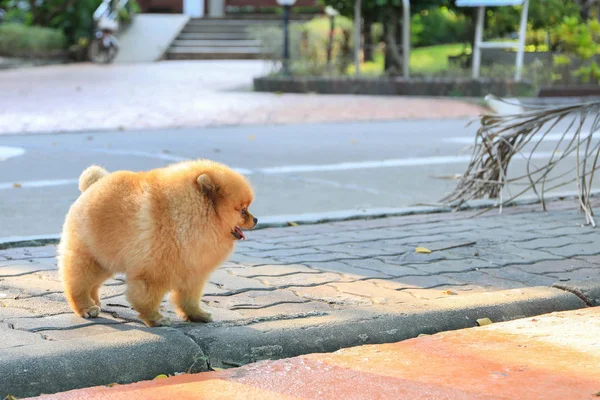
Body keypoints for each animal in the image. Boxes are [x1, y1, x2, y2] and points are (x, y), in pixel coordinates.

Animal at [58, 160, 258, 328]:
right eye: (242, 210)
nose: (255, 219)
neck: (189, 217)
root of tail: (92, 185)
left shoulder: (192, 271)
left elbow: (189, 298)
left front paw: (197, 315)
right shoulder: (154, 272)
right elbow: (147, 297)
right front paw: (156, 319)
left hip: (105, 259)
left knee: (92, 283)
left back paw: (95, 302)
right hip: (90, 256)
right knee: (77, 283)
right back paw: (86, 307)